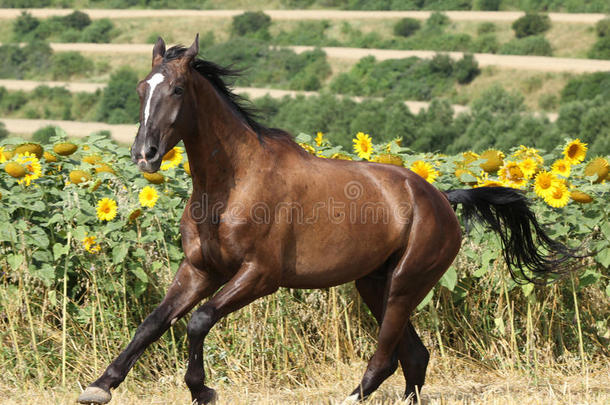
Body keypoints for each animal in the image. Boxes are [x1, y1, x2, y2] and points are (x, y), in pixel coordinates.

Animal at [77, 36, 576, 402]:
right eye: (142, 88)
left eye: (177, 90)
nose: (144, 154)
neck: (232, 184)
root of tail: (440, 196)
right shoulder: (200, 269)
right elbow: (153, 322)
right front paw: (100, 386)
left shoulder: (260, 275)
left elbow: (198, 320)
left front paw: (203, 391)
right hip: (374, 284)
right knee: (415, 357)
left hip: (406, 283)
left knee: (388, 357)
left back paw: (352, 395)